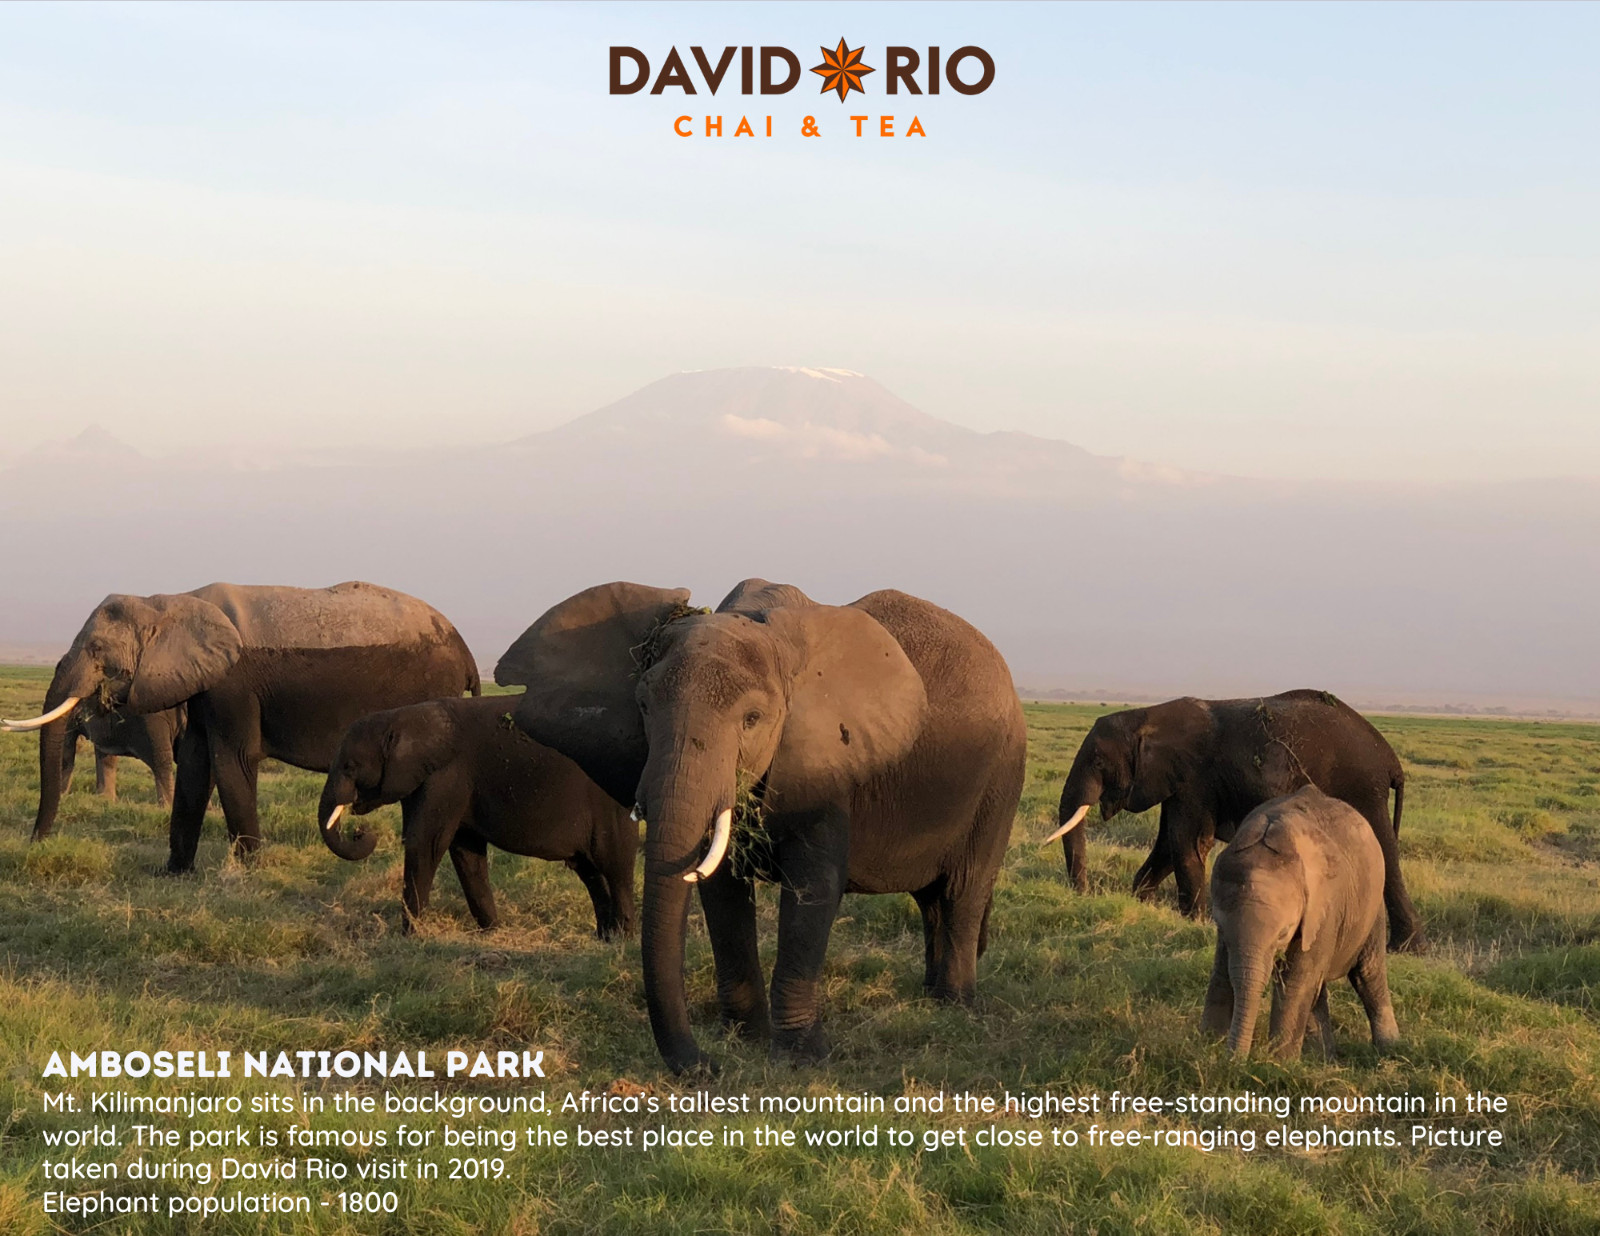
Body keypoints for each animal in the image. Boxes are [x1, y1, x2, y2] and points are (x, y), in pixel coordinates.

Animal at [2, 582, 480, 872]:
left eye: (98, 649)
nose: (35, 843)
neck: (170, 600)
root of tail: (466, 650)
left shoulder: (234, 682)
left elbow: (232, 760)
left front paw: (249, 870)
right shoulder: (202, 682)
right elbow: (196, 763)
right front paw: (173, 874)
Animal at [318, 695, 638, 939]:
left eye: (349, 766)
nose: (360, 831)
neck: (402, 716)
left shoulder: (447, 776)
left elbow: (426, 844)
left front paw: (409, 937)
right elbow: (465, 853)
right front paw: (492, 932)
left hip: (610, 804)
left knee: (616, 867)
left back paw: (622, 939)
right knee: (590, 871)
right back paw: (604, 938)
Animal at [496, 578, 1027, 1074]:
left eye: (752, 719)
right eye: (643, 706)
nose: (706, 1069)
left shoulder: (827, 767)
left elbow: (814, 889)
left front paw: (800, 1059)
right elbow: (721, 890)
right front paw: (744, 1039)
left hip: (1001, 776)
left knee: (962, 891)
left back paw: (954, 1007)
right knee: (931, 899)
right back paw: (931, 996)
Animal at [1046, 689, 1423, 951]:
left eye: (1097, 761)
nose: (1084, 893)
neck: (1147, 717)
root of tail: (1391, 761)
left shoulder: (1194, 779)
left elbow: (1186, 843)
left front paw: (1193, 922)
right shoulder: (1176, 783)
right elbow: (1167, 845)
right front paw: (1144, 903)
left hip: (1361, 789)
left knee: (1383, 855)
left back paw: (1402, 949)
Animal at [1202, 786, 1400, 1059]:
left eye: (1283, 934)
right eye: (1219, 927)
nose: (1234, 1061)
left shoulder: (1324, 907)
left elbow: (1296, 981)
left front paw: (1278, 1062)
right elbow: (1222, 971)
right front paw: (1206, 1044)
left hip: (1371, 907)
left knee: (1368, 972)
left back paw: (1390, 1047)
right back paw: (1323, 1056)